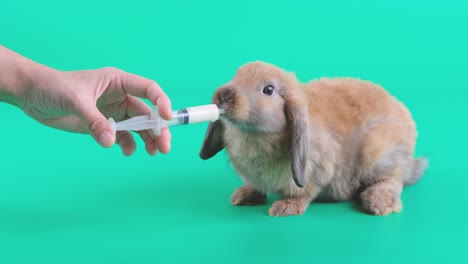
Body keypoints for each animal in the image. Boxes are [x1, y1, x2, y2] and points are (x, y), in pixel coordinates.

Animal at [197, 62, 428, 217]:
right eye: (236, 76)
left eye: (268, 89)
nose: (224, 95)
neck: (252, 134)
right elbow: (255, 185)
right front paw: (243, 195)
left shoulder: (315, 169)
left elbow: (303, 192)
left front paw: (285, 207)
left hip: (378, 156)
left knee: (392, 180)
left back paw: (378, 203)